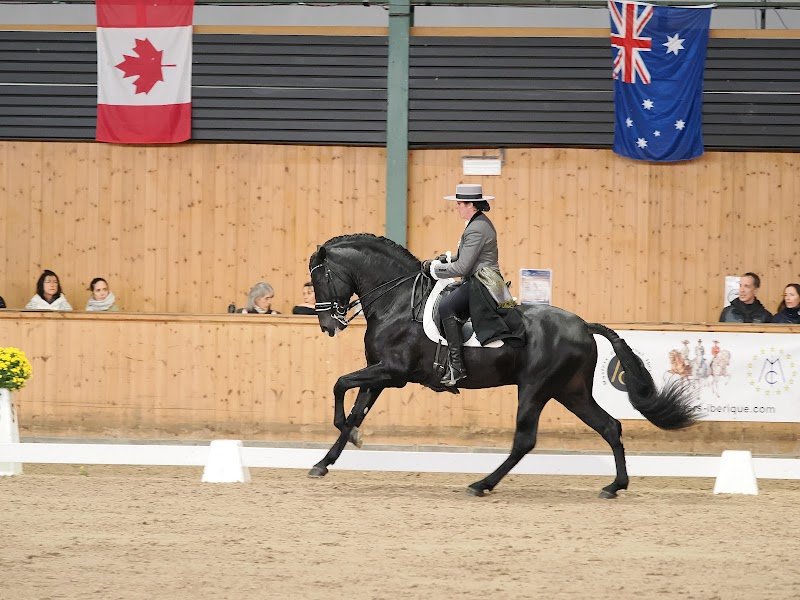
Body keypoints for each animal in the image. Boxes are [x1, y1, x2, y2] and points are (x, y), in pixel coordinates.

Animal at [307, 233, 696, 498]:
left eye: (319, 278)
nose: (327, 325)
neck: (397, 301)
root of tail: (584, 326)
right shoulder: (380, 372)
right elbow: (355, 410)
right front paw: (325, 461)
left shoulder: (393, 372)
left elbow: (339, 384)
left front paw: (347, 437)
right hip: (570, 391)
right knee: (610, 426)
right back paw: (615, 486)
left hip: (535, 389)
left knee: (524, 440)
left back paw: (482, 484)